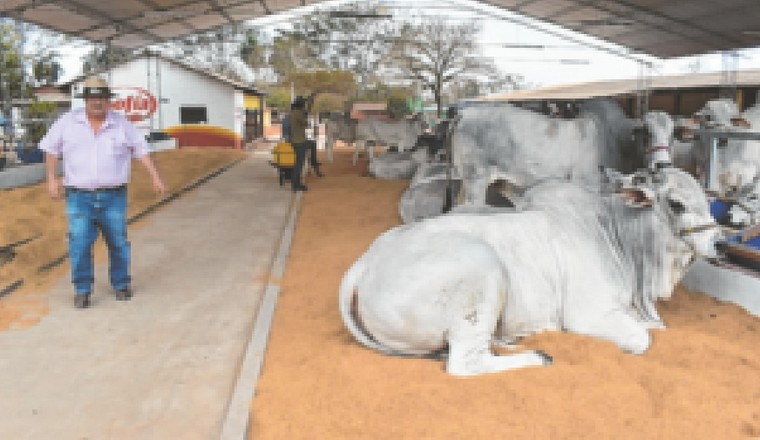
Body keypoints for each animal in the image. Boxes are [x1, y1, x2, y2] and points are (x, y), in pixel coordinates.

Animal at [338, 168, 720, 374]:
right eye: (676, 204)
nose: (718, 243)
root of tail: (364, 264)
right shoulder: (589, 314)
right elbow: (641, 338)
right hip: (483, 268)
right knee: (467, 362)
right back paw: (538, 355)